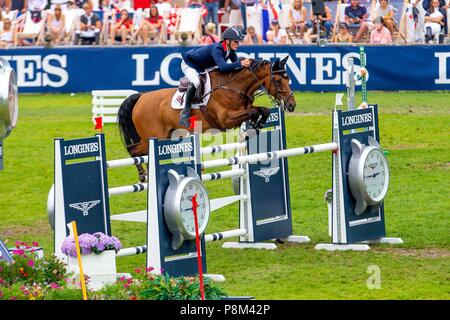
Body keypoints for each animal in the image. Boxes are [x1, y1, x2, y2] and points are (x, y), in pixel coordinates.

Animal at [118, 56, 298, 181]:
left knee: (136, 150)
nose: (292, 104)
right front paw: (254, 126)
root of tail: (141, 97)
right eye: (278, 80)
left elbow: (263, 110)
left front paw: (256, 126)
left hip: (166, 135)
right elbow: (254, 112)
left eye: (288, 78)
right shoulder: (226, 119)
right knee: (134, 150)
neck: (234, 87)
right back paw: (143, 175)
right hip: (154, 136)